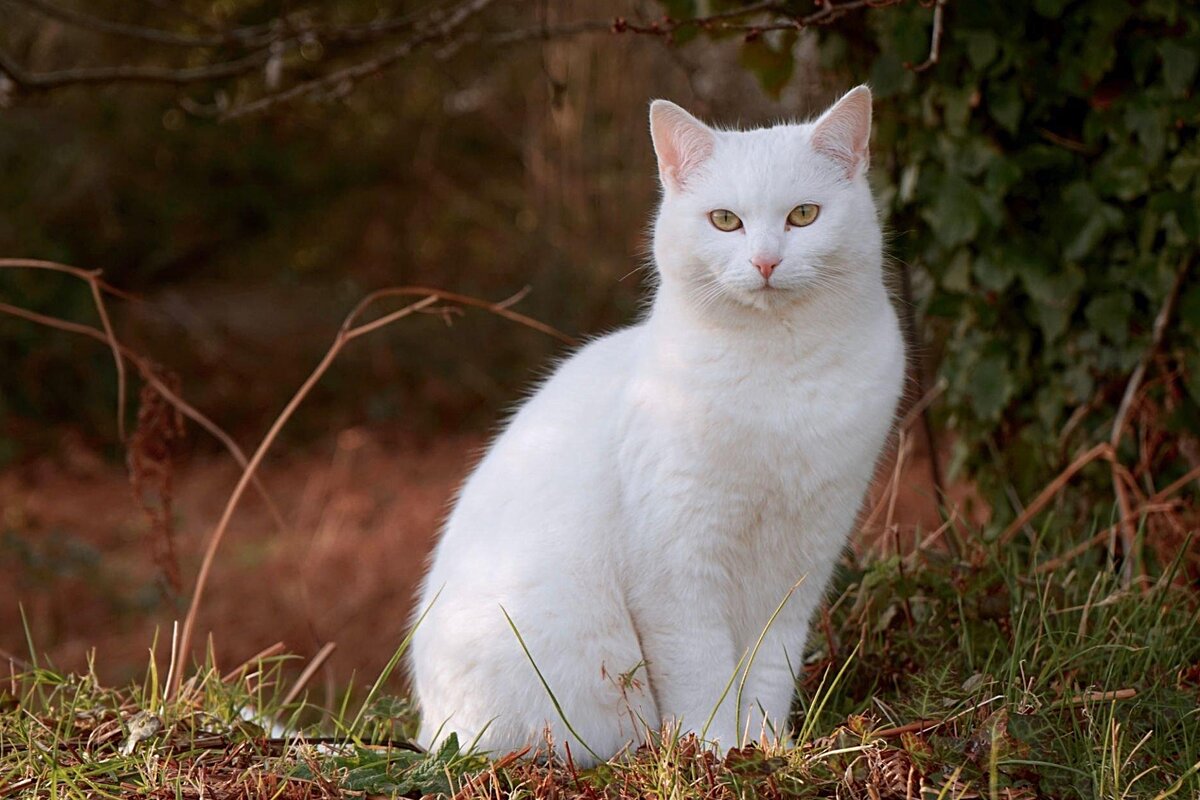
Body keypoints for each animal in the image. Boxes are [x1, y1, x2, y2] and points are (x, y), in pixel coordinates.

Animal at [410, 84, 902, 767]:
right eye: (725, 221)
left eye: (804, 216)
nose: (766, 262)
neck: (778, 368)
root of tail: (430, 732)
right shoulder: (676, 567)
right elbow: (701, 676)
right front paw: (715, 752)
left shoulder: (799, 564)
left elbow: (769, 672)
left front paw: (767, 749)